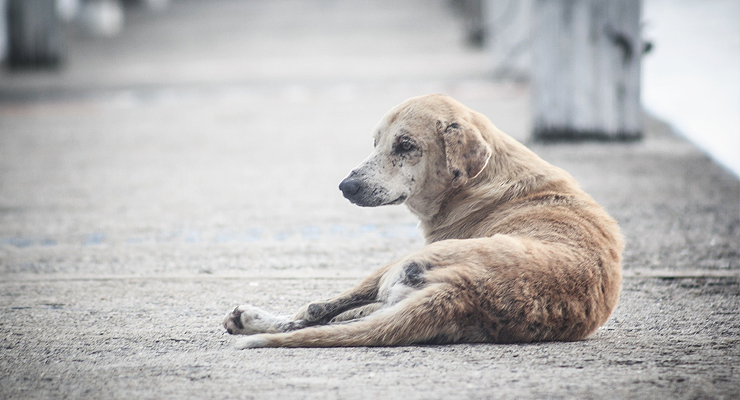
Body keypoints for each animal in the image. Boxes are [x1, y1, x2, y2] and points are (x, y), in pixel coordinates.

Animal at [223, 94, 620, 346]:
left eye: (406, 145)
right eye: (375, 143)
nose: (345, 186)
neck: (482, 179)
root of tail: (462, 292)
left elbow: (321, 309)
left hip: (397, 264)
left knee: (316, 313)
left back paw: (251, 320)